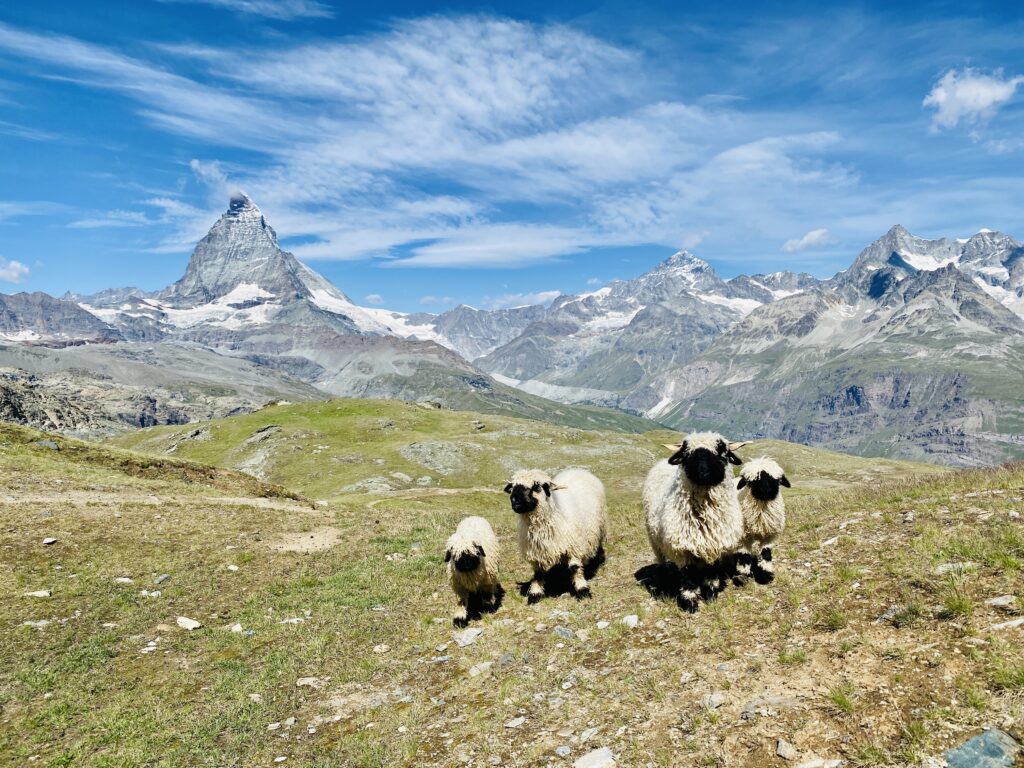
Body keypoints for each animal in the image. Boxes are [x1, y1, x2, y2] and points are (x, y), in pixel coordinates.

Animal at [503, 466, 606, 606]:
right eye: (513, 487)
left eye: (537, 486)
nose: (515, 501)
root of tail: (578, 469)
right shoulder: (536, 552)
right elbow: (538, 574)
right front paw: (535, 594)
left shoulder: (573, 546)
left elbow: (575, 568)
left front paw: (582, 590)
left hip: (600, 526)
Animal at [643, 434, 749, 614]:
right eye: (687, 453)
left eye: (722, 451)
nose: (703, 473)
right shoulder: (683, 547)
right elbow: (688, 576)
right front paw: (690, 603)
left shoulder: (715, 544)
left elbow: (712, 571)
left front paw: (711, 594)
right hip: (653, 538)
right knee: (662, 559)